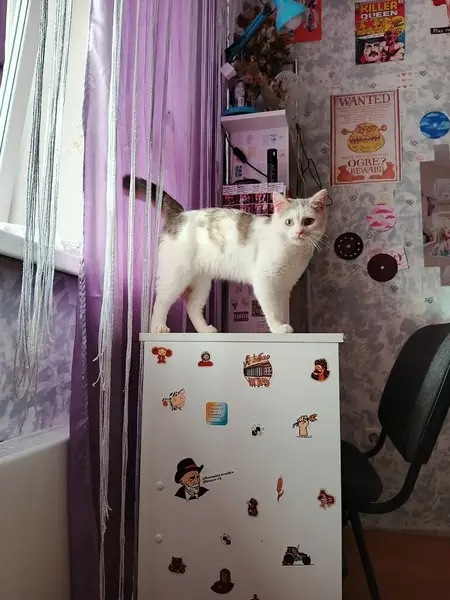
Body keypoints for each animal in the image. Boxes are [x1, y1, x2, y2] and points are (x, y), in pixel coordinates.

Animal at [123, 175, 327, 334]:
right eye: (288, 222)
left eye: (308, 221)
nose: (299, 233)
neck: (294, 251)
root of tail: (180, 214)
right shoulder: (266, 280)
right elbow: (273, 309)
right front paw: (278, 328)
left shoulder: (284, 286)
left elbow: (282, 309)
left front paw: (285, 325)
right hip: (176, 275)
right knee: (162, 300)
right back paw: (157, 327)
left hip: (202, 282)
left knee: (192, 305)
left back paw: (205, 330)